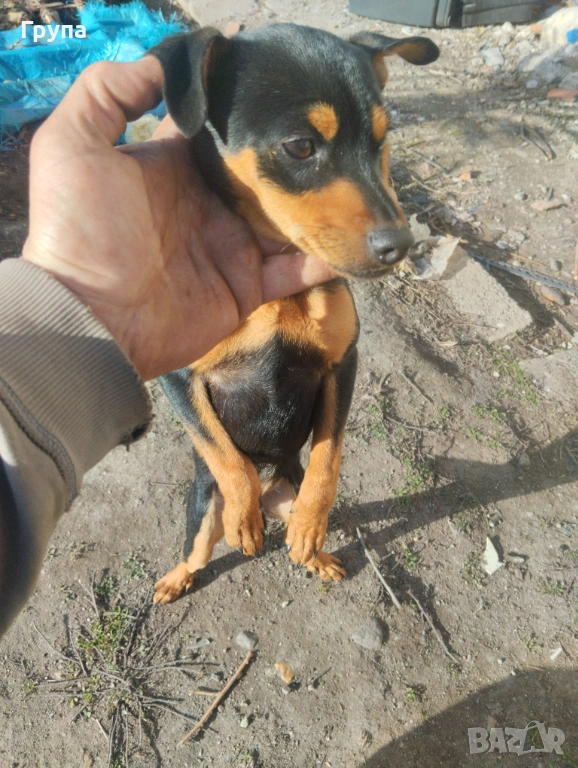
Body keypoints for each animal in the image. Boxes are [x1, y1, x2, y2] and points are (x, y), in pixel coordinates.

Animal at [150, 23, 439, 604]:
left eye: (382, 141)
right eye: (301, 146)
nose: (401, 246)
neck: (276, 290)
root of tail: (273, 493)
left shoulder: (341, 364)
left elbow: (328, 458)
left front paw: (310, 529)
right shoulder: (178, 377)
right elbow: (227, 456)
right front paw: (243, 520)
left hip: (290, 487)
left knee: (302, 504)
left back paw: (316, 553)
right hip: (200, 510)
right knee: (198, 548)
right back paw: (183, 572)